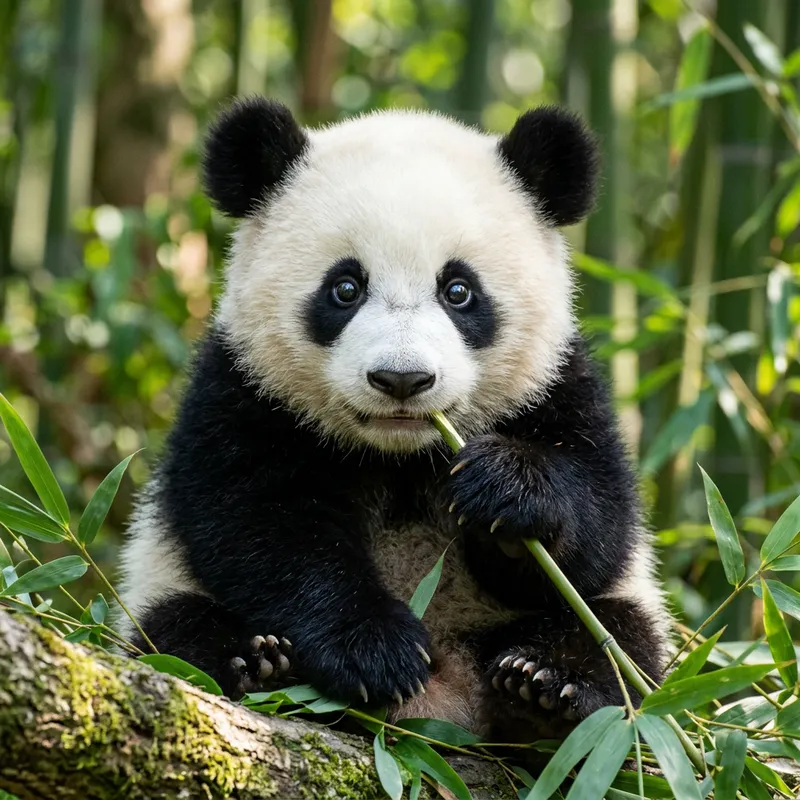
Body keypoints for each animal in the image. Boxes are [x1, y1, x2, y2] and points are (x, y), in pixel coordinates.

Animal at [116, 96, 670, 741]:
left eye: (458, 290)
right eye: (345, 287)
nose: (402, 380)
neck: (401, 454)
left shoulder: (556, 385)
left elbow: (597, 526)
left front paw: (504, 488)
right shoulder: (243, 390)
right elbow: (258, 524)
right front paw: (375, 650)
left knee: (617, 643)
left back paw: (543, 687)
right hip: (160, 586)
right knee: (176, 631)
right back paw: (253, 663)